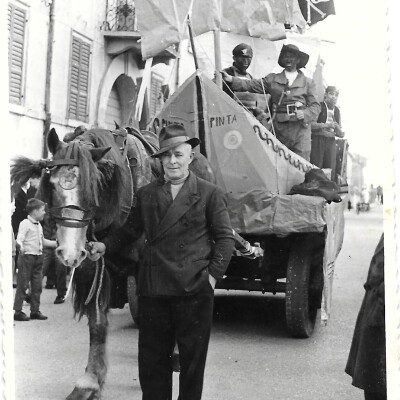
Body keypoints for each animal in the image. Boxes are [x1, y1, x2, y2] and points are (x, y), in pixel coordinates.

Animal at [10, 126, 216, 400]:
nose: (69, 252)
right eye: (51, 185)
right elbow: (97, 323)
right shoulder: (94, 266)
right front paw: (89, 382)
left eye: (93, 188)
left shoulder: (146, 274)